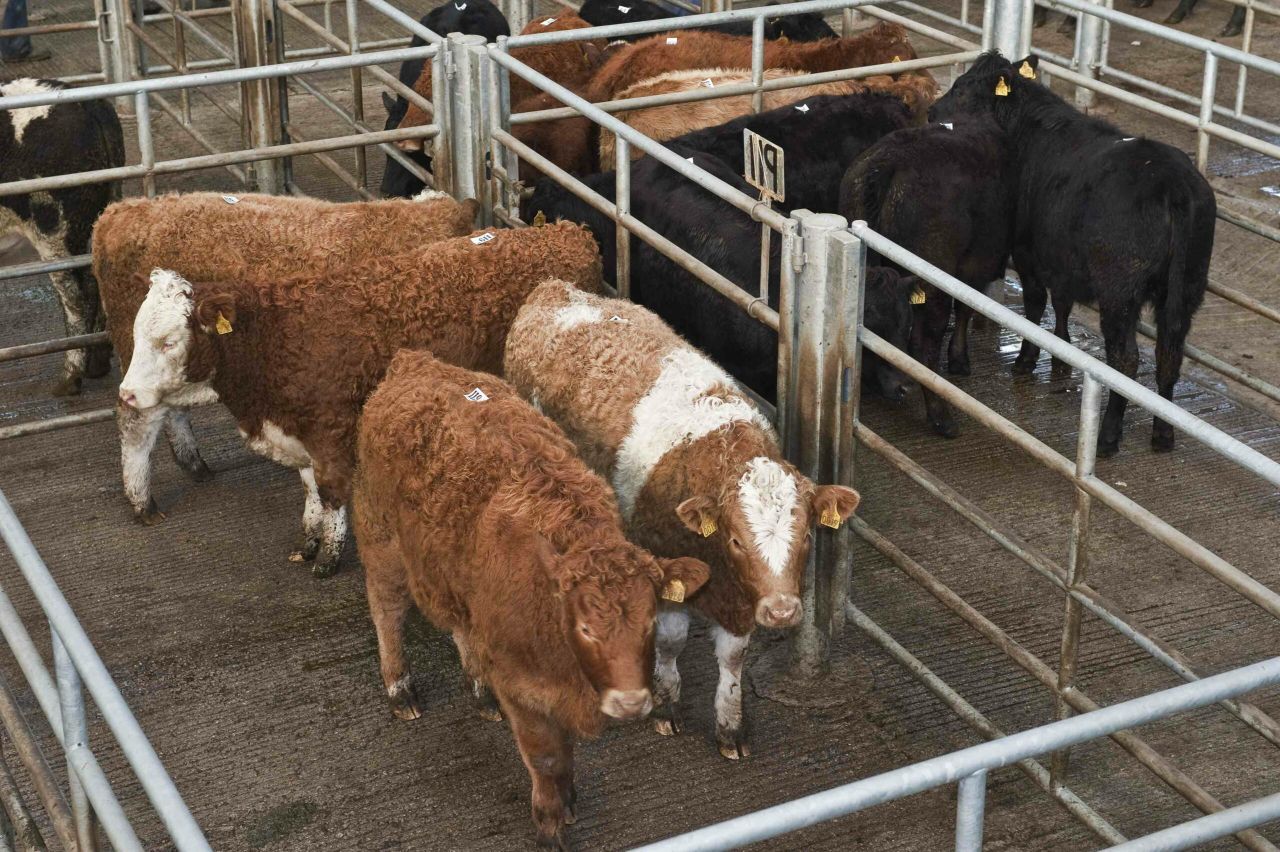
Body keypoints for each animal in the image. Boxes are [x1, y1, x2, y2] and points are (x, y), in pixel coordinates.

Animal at [113, 222, 601, 576]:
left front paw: (328, 558)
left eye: (168, 341)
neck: (274, 340)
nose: (127, 392)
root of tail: (566, 232)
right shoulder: (299, 436)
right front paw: (309, 542)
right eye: (137, 333)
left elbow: (331, 495)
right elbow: (309, 489)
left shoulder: (329, 435)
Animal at [354, 348, 709, 847]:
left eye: (650, 622)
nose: (630, 703)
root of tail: (414, 361)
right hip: (381, 539)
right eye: (585, 628)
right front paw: (550, 822)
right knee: (387, 611)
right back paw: (399, 687)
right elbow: (547, 756)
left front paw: (570, 799)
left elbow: (567, 754)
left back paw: (481, 692)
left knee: (461, 629)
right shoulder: (523, 687)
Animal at [505, 281, 861, 759]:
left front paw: (731, 726)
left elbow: (733, 660)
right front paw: (666, 705)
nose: (782, 611)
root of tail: (556, 289)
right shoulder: (665, 573)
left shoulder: (739, 599)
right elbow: (670, 642)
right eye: (736, 540)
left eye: (806, 535)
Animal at [840, 117, 1014, 437]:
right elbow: (967, 307)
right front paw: (959, 358)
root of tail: (889, 161)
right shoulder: (976, 264)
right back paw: (941, 416)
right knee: (925, 343)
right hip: (934, 277)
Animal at [930, 53, 1216, 455]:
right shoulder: (1060, 255)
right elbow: (1061, 301)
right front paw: (1060, 356)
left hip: (1119, 291)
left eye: (961, 88)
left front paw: (1026, 360)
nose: (931, 111)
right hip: (1187, 288)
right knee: (1168, 354)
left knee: (1125, 360)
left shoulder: (1027, 249)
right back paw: (1163, 433)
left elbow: (1036, 304)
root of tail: (1172, 181)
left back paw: (1108, 435)